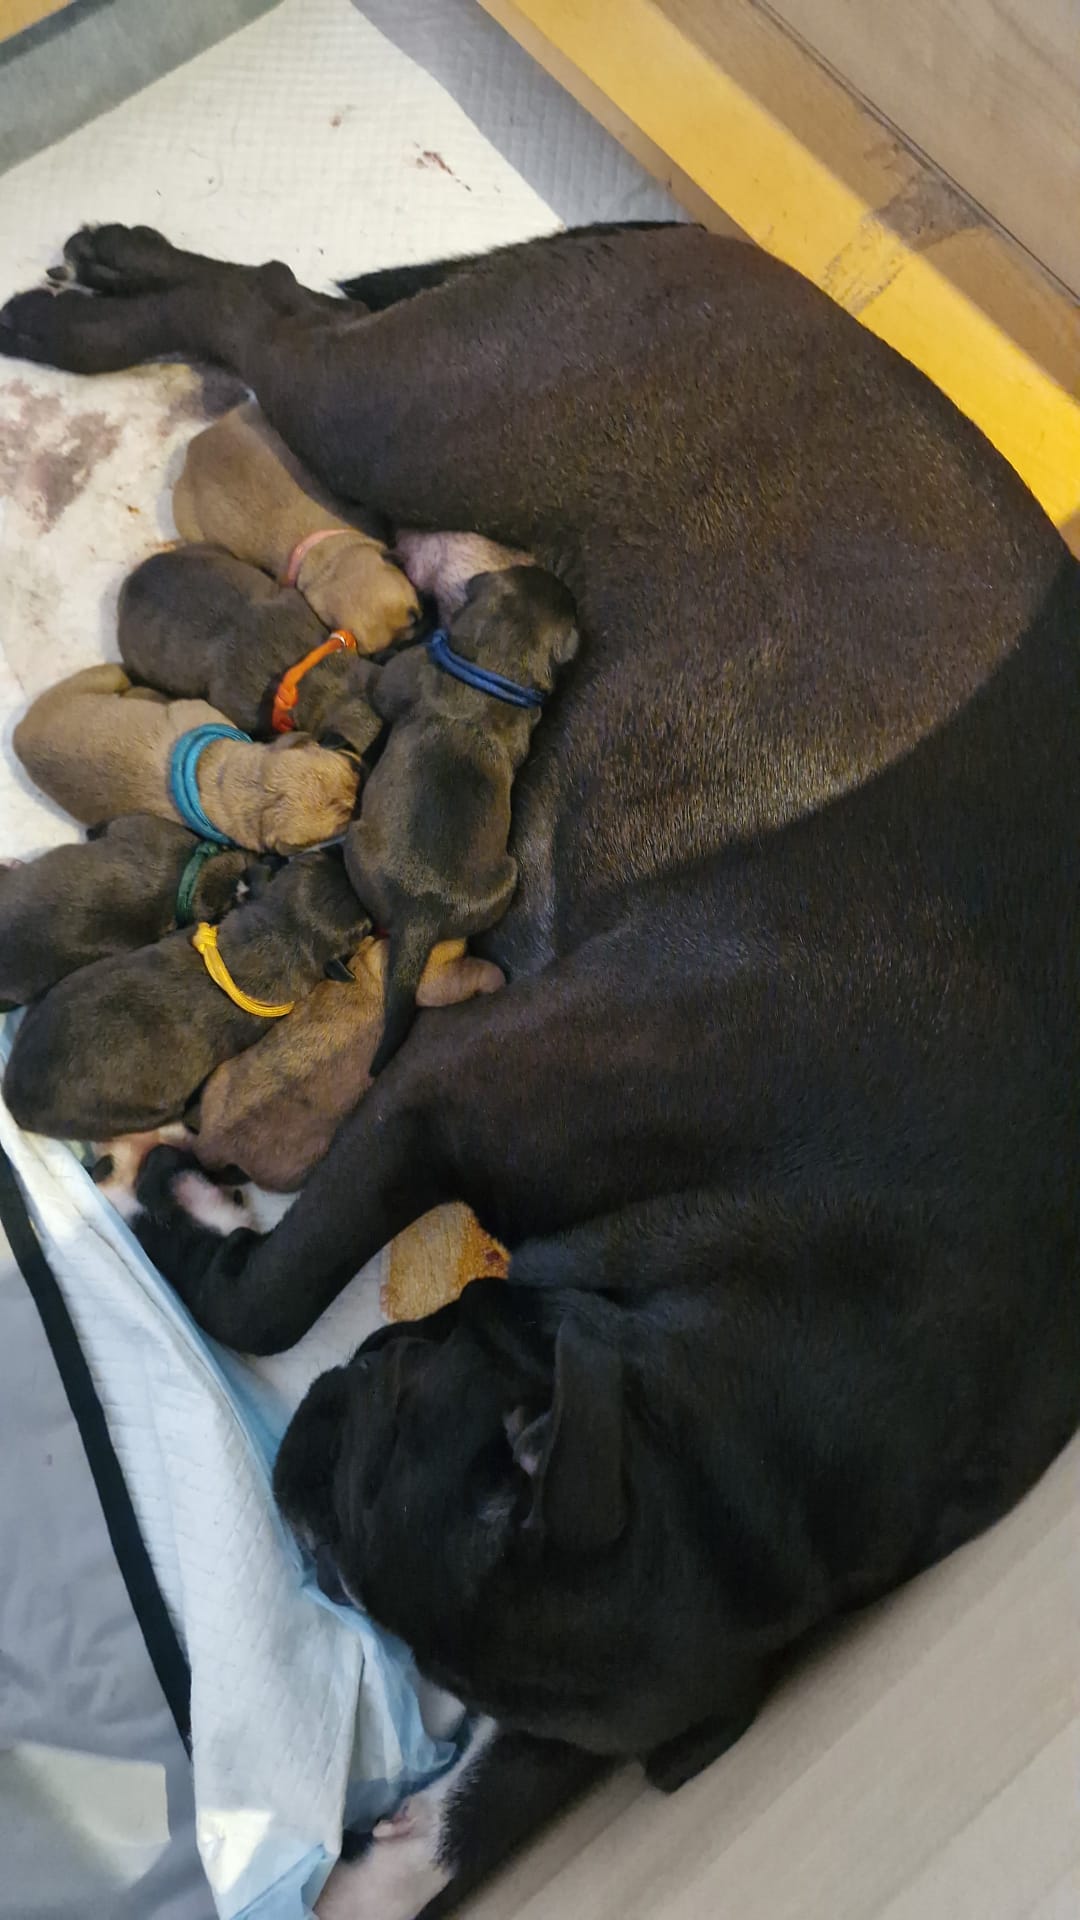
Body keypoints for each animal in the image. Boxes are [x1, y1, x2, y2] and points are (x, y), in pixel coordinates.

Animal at [3, 848, 372, 1139]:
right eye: (364, 928)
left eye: (314, 857)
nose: (339, 851)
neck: (280, 934)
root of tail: (16, 1099)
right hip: (132, 1114)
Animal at [346, 565, 579, 1069]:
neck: (492, 671)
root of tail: (423, 912)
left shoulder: (401, 675)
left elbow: (376, 682)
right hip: (507, 877)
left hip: (355, 840)